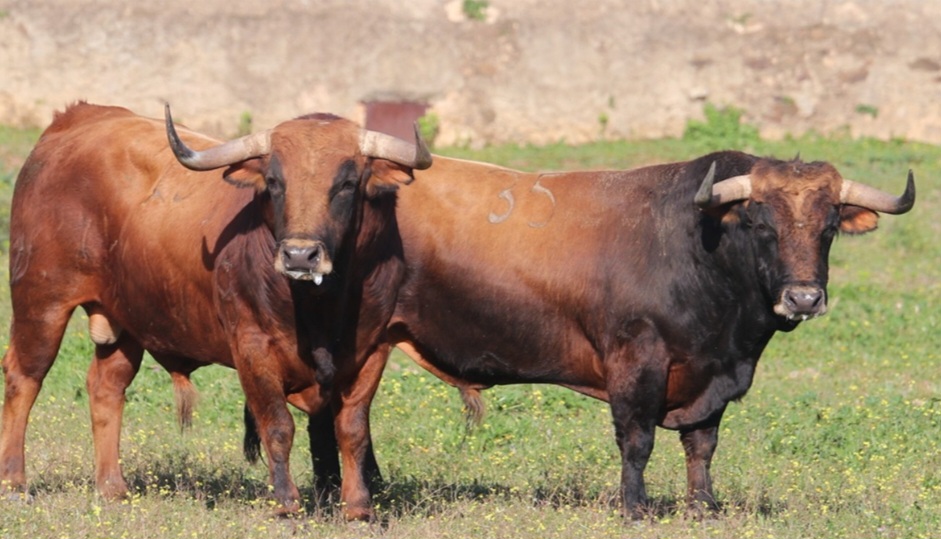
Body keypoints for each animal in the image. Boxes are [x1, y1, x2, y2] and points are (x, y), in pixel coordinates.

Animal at [0, 101, 430, 520]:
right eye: (275, 182)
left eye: (346, 184)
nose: (299, 255)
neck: (322, 308)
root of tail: (77, 116)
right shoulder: (252, 347)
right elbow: (278, 425)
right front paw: (286, 503)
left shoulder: (373, 349)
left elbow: (353, 429)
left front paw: (359, 508)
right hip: (41, 301)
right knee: (25, 379)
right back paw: (15, 483)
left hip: (125, 321)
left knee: (106, 388)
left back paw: (112, 488)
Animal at [292, 151, 912, 520]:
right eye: (762, 224)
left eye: (829, 227)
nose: (804, 297)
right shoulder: (637, 361)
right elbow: (637, 440)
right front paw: (634, 507)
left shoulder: (711, 374)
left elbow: (702, 444)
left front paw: (702, 505)